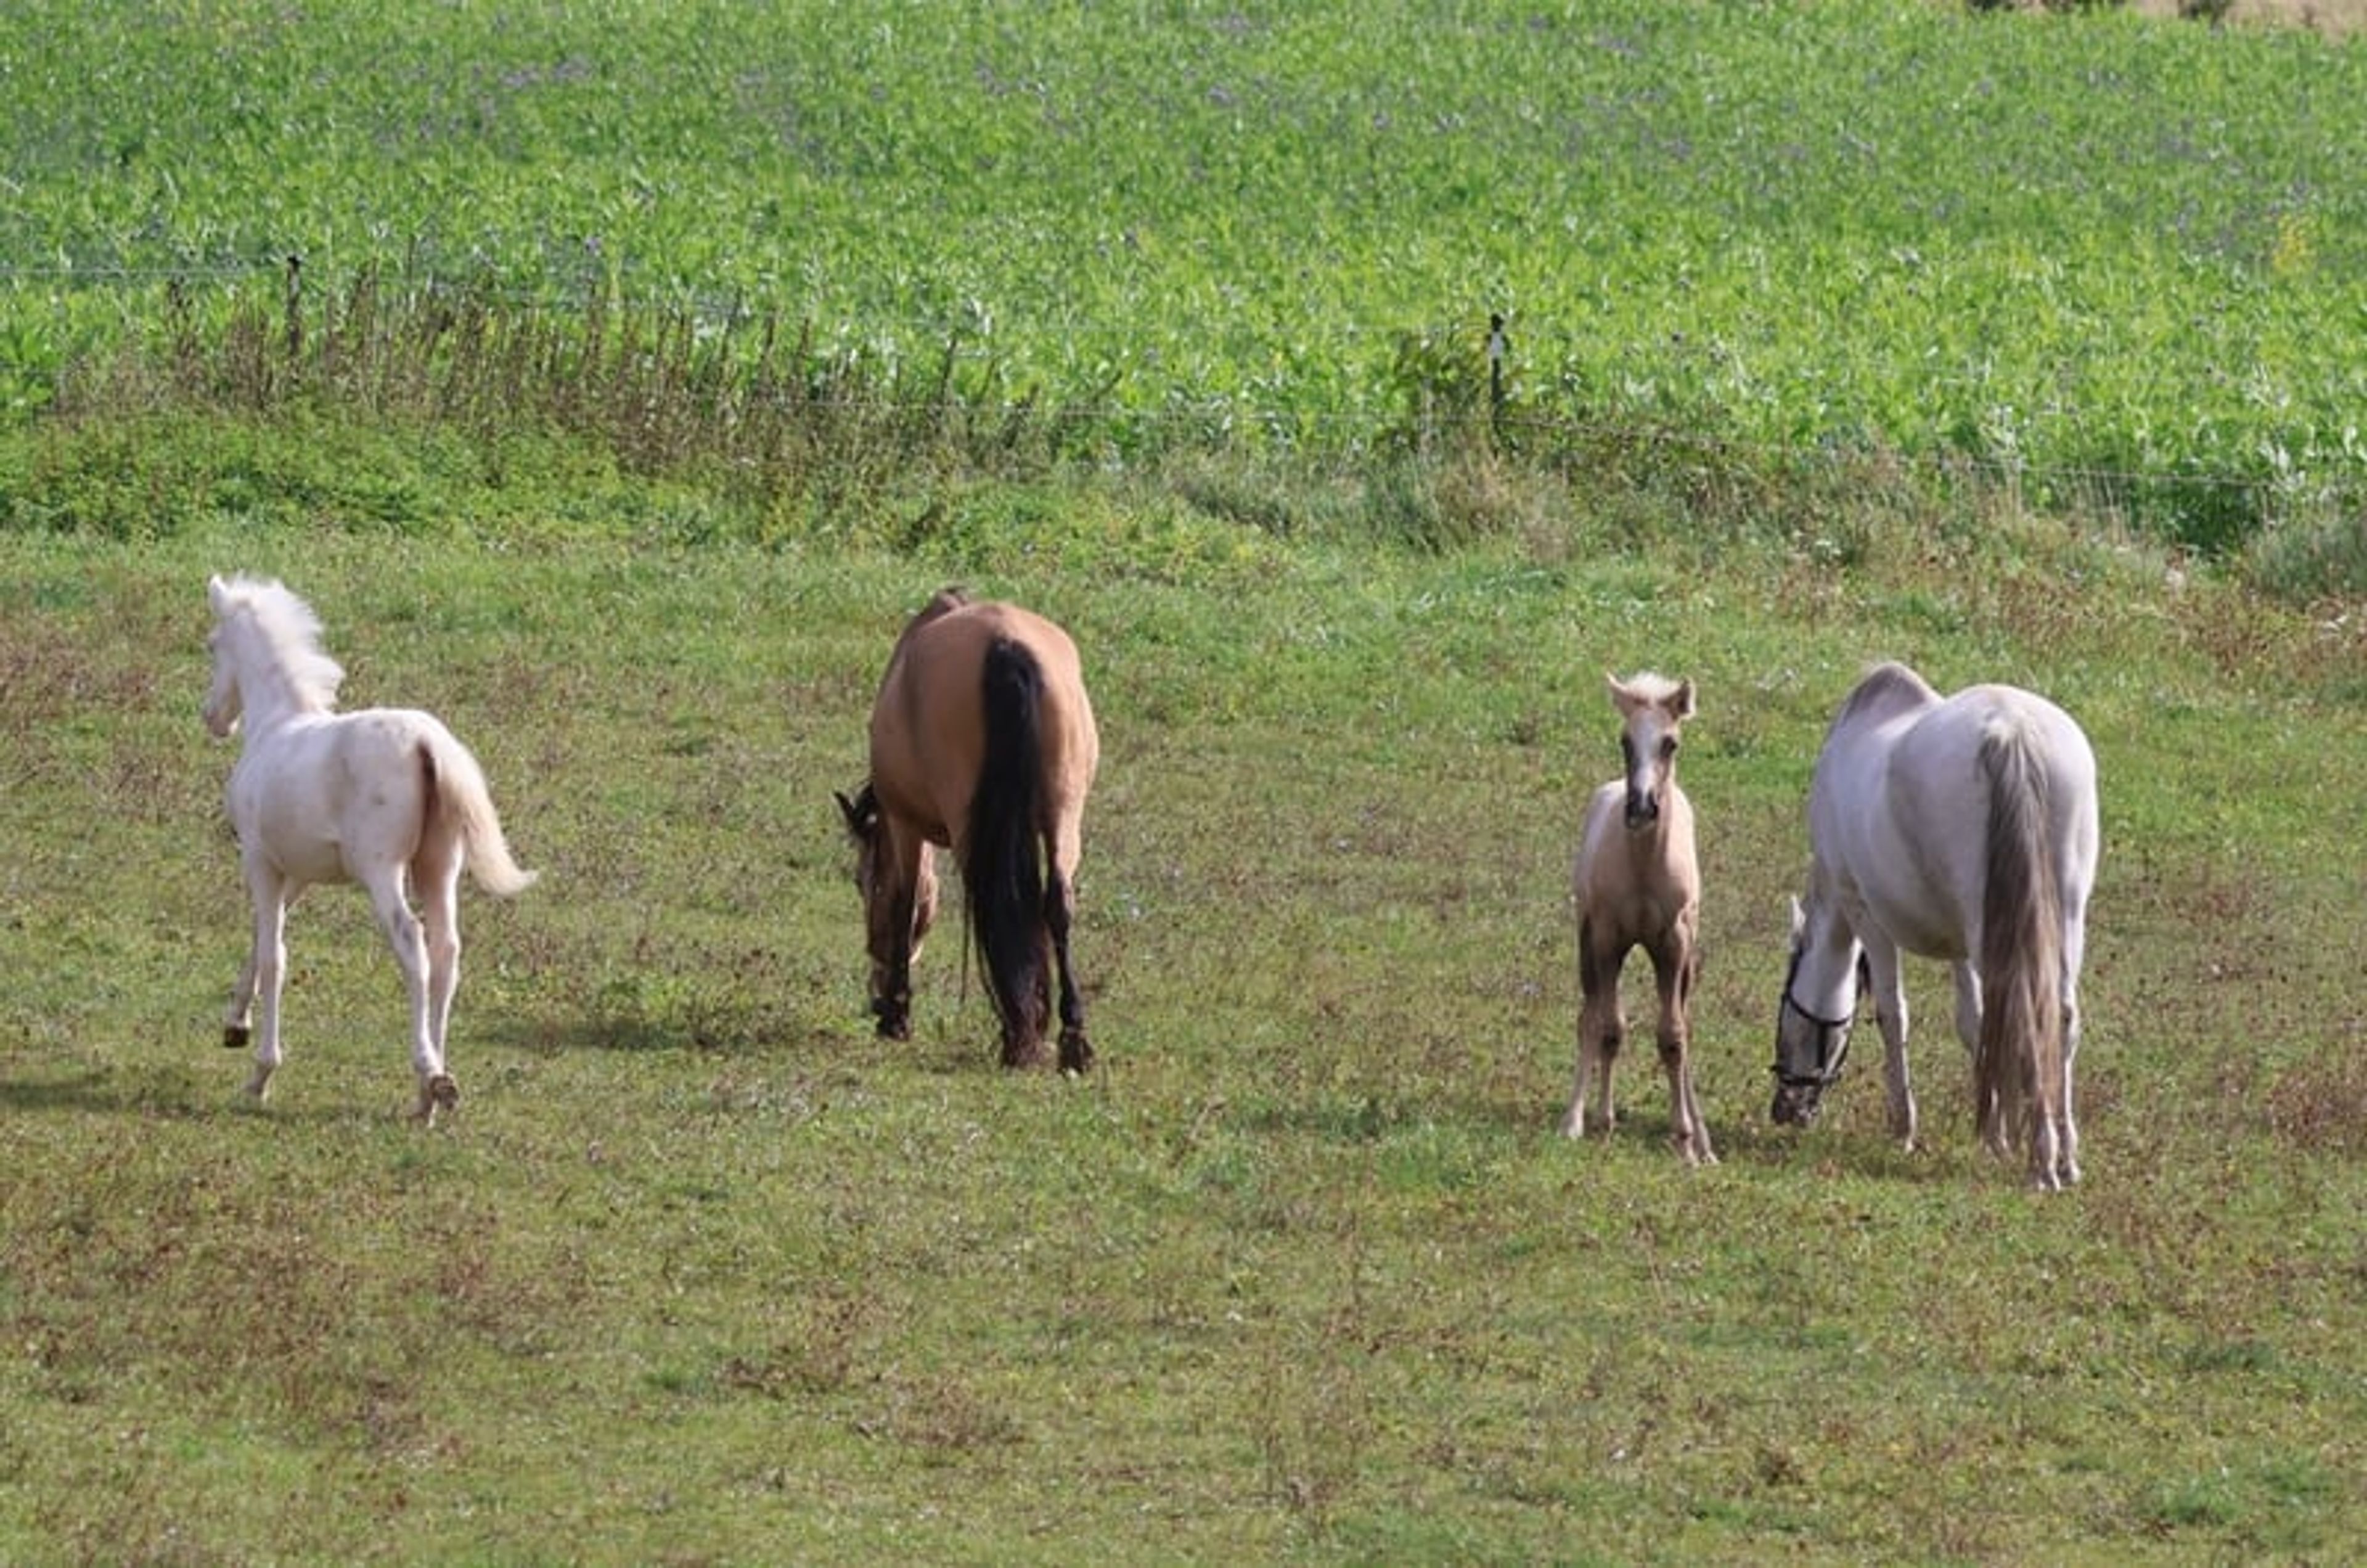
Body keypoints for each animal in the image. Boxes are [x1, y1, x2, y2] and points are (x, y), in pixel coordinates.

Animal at [202, 575, 535, 1122]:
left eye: (212, 646)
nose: (211, 717)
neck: (277, 724)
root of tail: (427, 744)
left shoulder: (260, 860)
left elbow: (275, 955)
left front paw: (261, 1074)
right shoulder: (299, 872)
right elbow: (261, 938)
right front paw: (235, 1025)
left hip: (383, 870)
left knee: (412, 942)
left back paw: (429, 1074)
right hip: (438, 866)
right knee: (447, 951)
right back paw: (431, 1096)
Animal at [836, 588, 1100, 1072]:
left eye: (861, 882)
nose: (874, 993)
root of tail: (1005, 645)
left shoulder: (904, 825)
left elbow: (905, 902)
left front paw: (896, 1016)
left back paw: (1016, 1035)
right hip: (1065, 813)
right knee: (1057, 903)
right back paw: (1071, 1038)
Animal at [1559, 672, 1716, 1165]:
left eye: (1671, 743)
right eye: (1625, 741)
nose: (1642, 808)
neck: (1645, 866)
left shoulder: (1675, 943)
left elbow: (1674, 1037)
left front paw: (1687, 1141)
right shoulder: (1609, 938)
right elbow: (1609, 1029)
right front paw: (1601, 1124)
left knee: (1682, 1022)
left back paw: (1705, 1142)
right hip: (1589, 942)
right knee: (1591, 1017)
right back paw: (1575, 1119)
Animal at [1770, 661, 2098, 1189]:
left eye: (1786, 1018)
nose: (1785, 1108)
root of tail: (2011, 730)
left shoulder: (1866, 914)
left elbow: (1893, 1013)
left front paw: (1904, 1126)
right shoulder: (1960, 943)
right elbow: (1976, 1023)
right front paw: (1996, 1131)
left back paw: (2042, 1160)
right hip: (2063, 913)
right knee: (2061, 1016)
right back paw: (2064, 1157)